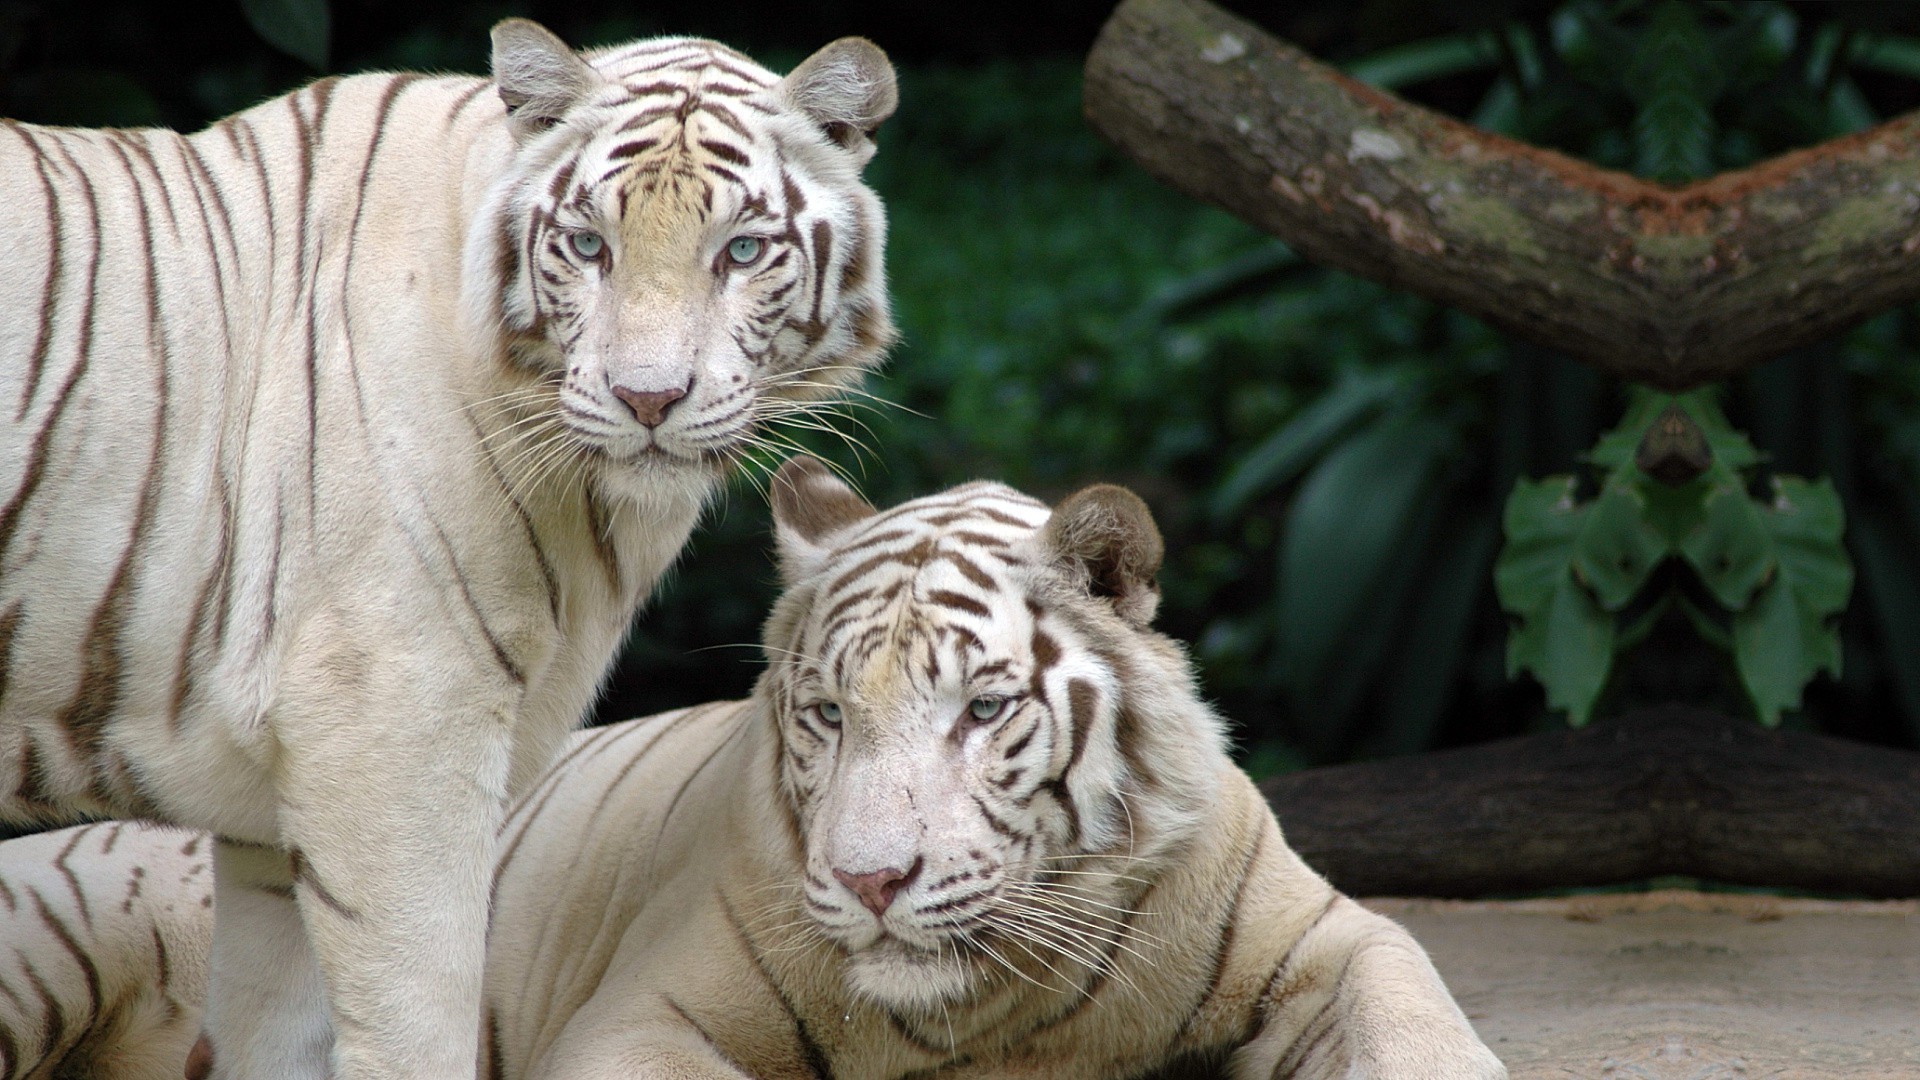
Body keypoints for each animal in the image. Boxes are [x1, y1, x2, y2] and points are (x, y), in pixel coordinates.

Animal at [0, 18, 898, 1076]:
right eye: (588, 245)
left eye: (744, 249)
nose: (647, 400)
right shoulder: (392, 732)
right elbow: (417, 1023)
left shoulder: (269, 829)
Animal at [0, 455, 1497, 1076]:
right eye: (827, 715)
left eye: (982, 709)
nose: (874, 881)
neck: (1004, 1014)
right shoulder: (643, 1019)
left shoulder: (1334, 940)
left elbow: (1416, 1021)